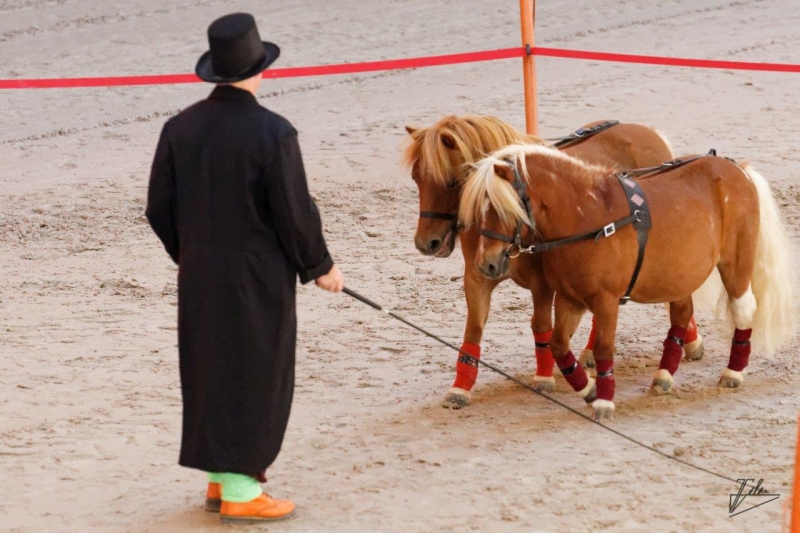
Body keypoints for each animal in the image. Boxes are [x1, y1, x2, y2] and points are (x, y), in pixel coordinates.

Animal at [404, 115, 704, 408]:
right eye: (416, 178)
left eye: (451, 182)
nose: (425, 243)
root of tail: (648, 132)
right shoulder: (478, 277)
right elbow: (474, 330)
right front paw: (460, 387)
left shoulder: (543, 284)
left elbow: (541, 326)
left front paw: (544, 377)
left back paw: (689, 343)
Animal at [460, 143, 796, 418]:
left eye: (502, 208)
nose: (487, 264)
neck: (587, 217)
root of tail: (737, 169)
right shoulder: (570, 298)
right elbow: (558, 345)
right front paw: (588, 389)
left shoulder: (606, 301)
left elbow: (604, 349)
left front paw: (604, 400)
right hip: (679, 275)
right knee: (681, 315)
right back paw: (663, 376)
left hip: (735, 263)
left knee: (743, 309)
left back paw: (733, 372)